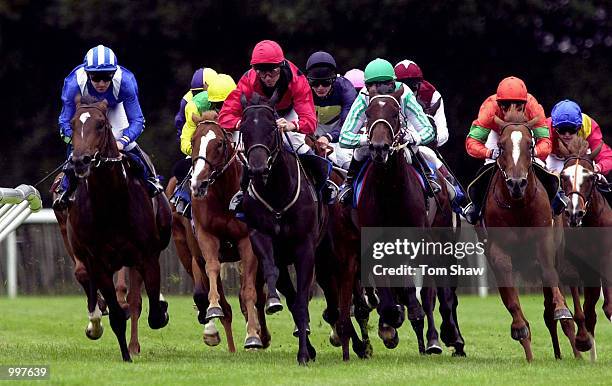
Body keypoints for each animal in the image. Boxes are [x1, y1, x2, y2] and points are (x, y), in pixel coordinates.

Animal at [64, 96, 171, 362]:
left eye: (101, 125)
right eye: (72, 124)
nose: (80, 161)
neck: (111, 203)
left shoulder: (147, 255)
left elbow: (153, 314)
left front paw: (161, 308)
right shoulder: (98, 262)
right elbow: (116, 315)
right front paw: (125, 356)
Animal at [190, 111, 268, 350]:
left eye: (220, 144)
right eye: (192, 141)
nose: (198, 183)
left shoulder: (247, 241)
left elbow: (249, 292)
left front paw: (252, 335)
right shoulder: (206, 236)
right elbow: (213, 268)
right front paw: (213, 307)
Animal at [238, 92, 328, 364]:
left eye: (271, 128)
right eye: (244, 129)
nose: (257, 168)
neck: (277, 193)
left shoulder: (304, 247)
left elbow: (302, 300)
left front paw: (303, 354)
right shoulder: (261, 237)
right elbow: (271, 272)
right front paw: (273, 301)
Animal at [482, 106, 572, 362]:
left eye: (530, 145)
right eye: (501, 146)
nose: (516, 183)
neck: (518, 206)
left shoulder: (544, 241)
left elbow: (550, 277)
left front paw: (562, 309)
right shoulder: (498, 251)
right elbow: (511, 299)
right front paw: (520, 327)